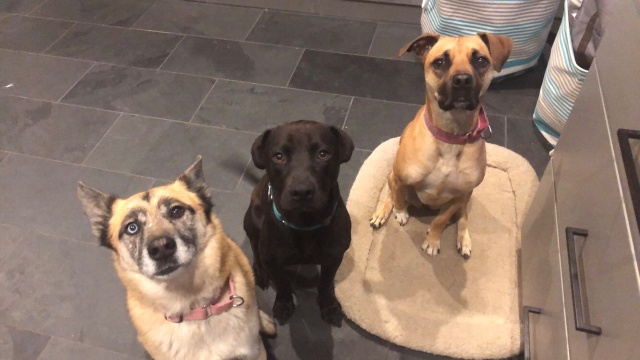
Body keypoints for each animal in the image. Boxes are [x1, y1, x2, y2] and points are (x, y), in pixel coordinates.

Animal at [244, 120, 356, 326]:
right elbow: (282, 284)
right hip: (252, 221)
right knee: (255, 246)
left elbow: (326, 283)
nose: (302, 191)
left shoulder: (334, 258)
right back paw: (260, 270)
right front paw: (283, 304)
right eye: (278, 156)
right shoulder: (273, 261)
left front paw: (329, 305)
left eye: (323, 154)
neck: (305, 225)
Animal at [368, 32, 512, 258]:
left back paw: (464, 239)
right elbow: (398, 198)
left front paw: (432, 240)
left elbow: (440, 220)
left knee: (463, 217)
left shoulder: (458, 197)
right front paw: (400, 213)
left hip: (467, 197)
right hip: (393, 175)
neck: (450, 136)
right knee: (390, 193)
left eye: (481, 61)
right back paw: (382, 213)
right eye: (440, 62)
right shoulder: (400, 179)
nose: (462, 80)